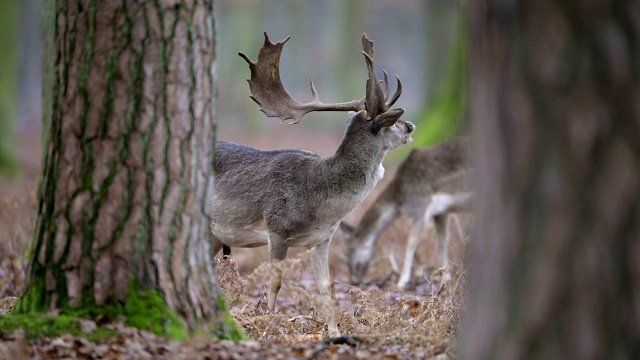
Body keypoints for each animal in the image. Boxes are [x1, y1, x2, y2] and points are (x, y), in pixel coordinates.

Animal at [342, 136, 472, 288]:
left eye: (348, 250)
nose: (354, 280)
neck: (400, 198)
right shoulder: (442, 211)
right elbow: (443, 242)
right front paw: (445, 280)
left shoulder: (421, 205)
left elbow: (411, 242)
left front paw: (401, 282)